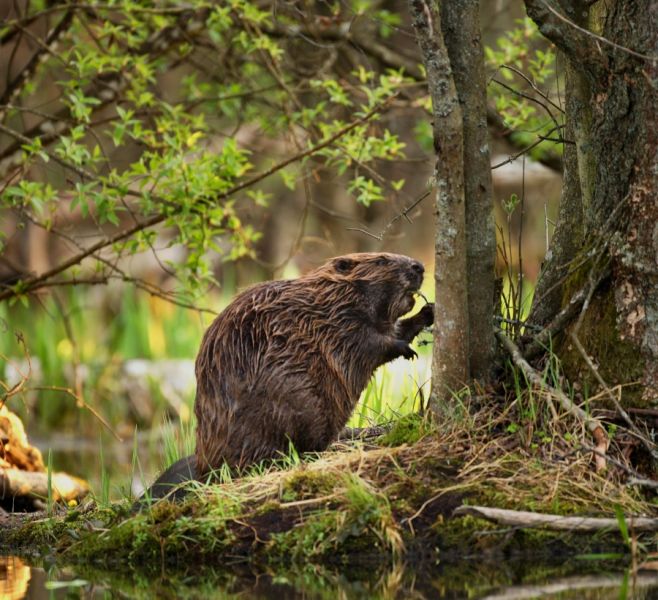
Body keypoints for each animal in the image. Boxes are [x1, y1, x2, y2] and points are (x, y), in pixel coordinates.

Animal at [144, 253, 430, 502]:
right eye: (382, 260)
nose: (419, 266)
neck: (331, 298)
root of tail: (203, 466)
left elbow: (393, 329)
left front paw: (429, 311)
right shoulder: (340, 323)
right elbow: (370, 343)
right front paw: (406, 348)